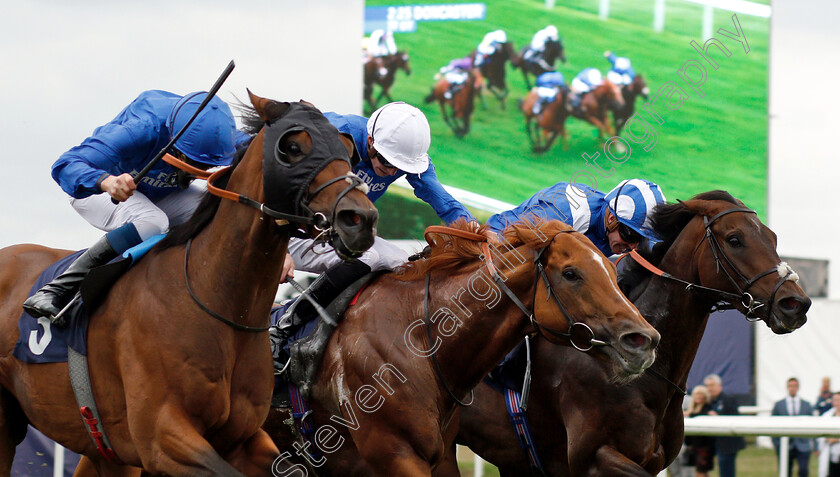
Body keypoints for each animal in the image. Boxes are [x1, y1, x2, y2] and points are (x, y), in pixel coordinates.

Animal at [0, 92, 378, 476]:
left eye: (349, 149)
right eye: (292, 147)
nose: (360, 219)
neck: (216, 301)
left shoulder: (242, 438)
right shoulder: (161, 440)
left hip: (103, 452)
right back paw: (47, 298)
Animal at [266, 221, 660, 474]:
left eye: (613, 271)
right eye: (571, 273)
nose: (644, 340)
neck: (419, 341)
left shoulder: (440, 455)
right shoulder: (396, 453)